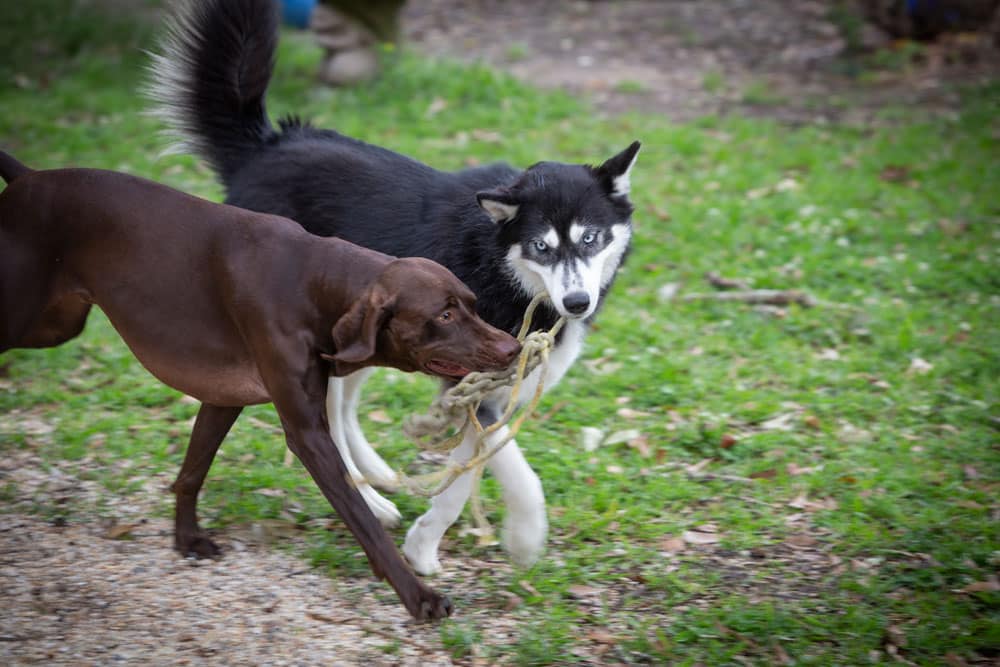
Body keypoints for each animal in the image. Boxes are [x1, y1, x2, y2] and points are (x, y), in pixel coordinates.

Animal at [1, 153, 524, 620]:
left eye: (472, 304)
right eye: (444, 315)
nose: (514, 348)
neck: (316, 284)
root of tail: (28, 179)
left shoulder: (222, 399)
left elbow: (191, 472)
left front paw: (185, 538)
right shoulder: (308, 435)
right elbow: (362, 518)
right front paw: (418, 597)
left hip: (58, 325)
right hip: (33, 321)